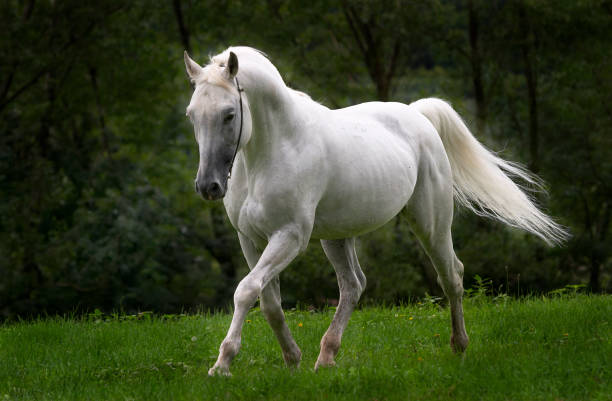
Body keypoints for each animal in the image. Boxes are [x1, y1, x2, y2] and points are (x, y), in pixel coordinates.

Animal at [183, 47, 568, 376]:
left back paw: (459, 347)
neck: (275, 149)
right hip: (337, 237)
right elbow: (268, 302)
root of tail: (418, 115)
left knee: (451, 276)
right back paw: (325, 358)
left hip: (430, 224)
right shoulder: (250, 239)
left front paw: (222, 363)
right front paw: (292, 360)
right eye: (191, 115)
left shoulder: (290, 236)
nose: (207, 186)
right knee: (354, 285)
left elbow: (246, 290)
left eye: (229, 114)